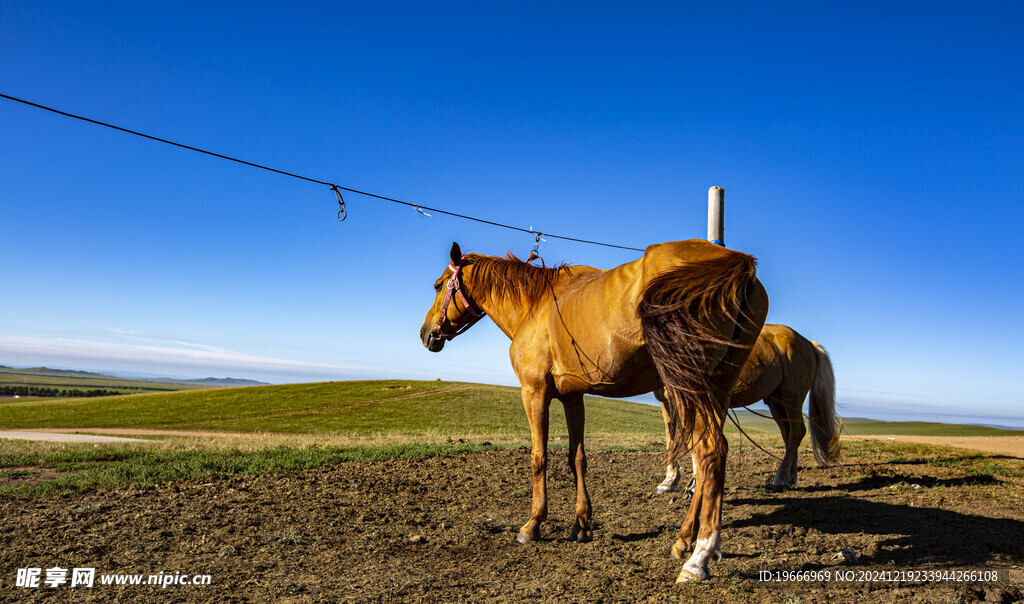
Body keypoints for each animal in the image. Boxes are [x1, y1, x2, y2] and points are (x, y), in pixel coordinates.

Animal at [421, 237, 770, 581]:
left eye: (438, 285)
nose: (426, 334)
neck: (535, 306)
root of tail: (734, 261)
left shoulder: (534, 393)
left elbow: (539, 457)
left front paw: (533, 524)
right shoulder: (573, 397)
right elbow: (577, 458)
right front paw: (582, 524)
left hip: (688, 388)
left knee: (709, 452)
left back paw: (698, 557)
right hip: (716, 389)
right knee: (708, 458)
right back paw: (685, 540)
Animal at [655, 323, 839, 499]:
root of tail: (808, 344)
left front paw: (694, 485)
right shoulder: (667, 402)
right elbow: (671, 437)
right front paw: (669, 481)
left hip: (791, 398)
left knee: (797, 432)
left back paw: (780, 479)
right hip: (776, 403)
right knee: (789, 435)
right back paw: (790, 478)